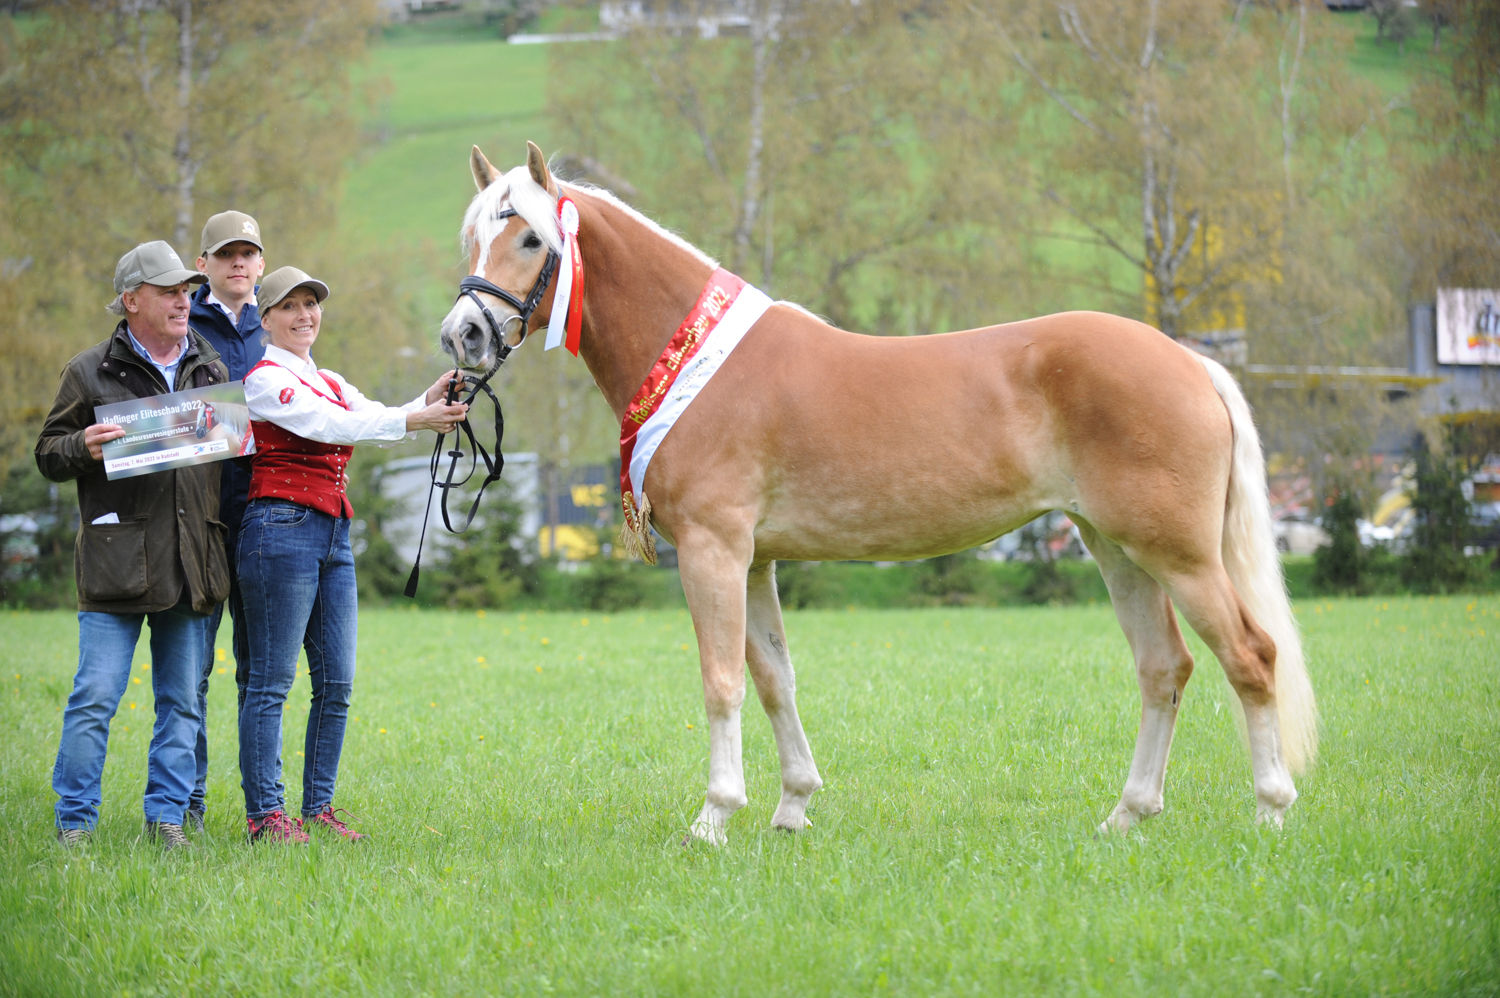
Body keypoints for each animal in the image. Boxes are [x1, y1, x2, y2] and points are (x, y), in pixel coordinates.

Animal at [438, 140, 1320, 840]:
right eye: (474, 234)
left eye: (530, 236)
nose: (463, 335)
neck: (697, 359)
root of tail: (1190, 363)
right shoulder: (756, 562)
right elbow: (774, 678)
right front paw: (793, 805)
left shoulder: (713, 551)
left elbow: (721, 680)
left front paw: (715, 816)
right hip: (1116, 547)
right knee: (1163, 668)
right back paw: (1127, 815)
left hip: (1177, 554)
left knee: (1249, 656)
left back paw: (1272, 811)